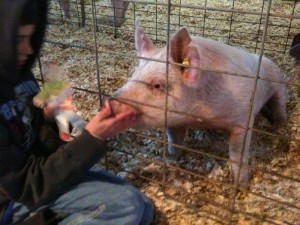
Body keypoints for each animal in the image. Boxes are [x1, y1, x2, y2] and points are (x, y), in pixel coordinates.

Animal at [109, 20, 286, 187]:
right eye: (133, 75)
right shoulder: (175, 120)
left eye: (157, 85)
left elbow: (237, 154)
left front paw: (241, 186)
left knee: (280, 102)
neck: (201, 116)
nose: (109, 101)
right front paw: (170, 159)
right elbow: (175, 141)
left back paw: (279, 123)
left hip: (278, 81)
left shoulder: (243, 120)